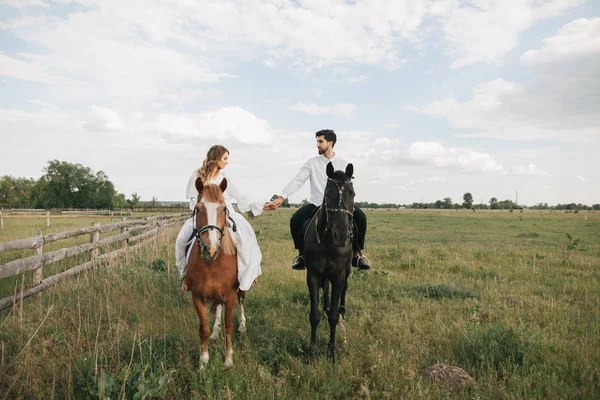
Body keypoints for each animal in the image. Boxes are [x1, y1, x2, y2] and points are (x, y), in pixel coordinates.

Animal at [184, 178, 243, 368]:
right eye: (198, 208)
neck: (212, 264)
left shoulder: (231, 294)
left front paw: (228, 359)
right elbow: (203, 328)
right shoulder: (197, 296)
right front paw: (203, 360)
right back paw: (215, 332)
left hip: (240, 291)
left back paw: (243, 326)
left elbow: (228, 325)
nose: (210, 249)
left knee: (242, 300)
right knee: (218, 307)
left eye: (223, 208)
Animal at [302, 160, 354, 362]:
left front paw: (331, 353)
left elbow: (333, 317)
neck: (328, 243)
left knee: (344, 290)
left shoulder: (339, 276)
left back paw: (342, 310)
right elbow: (314, 315)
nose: (341, 235)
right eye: (328, 195)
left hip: (347, 271)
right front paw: (312, 352)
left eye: (352, 194)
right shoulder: (313, 275)